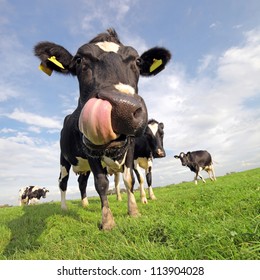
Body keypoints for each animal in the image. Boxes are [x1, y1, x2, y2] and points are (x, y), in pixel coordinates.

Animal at [33, 28, 171, 230]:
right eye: (79, 60)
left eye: (138, 61)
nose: (124, 108)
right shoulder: (89, 149)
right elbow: (101, 183)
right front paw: (107, 221)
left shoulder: (130, 149)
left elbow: (129, 179)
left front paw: (134, 211)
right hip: (64, 159)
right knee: (63, 182)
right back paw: (64, 207)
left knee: (82, 182)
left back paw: (84, 203)